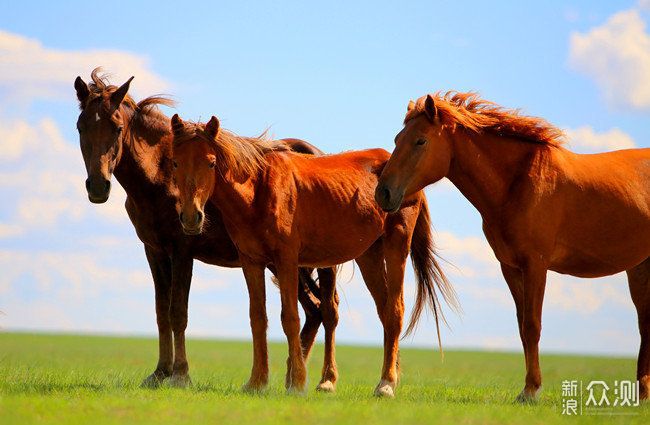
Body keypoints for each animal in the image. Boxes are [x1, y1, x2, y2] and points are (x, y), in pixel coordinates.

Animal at [73, 68, 340, 390]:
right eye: (80, 127)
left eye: (116, 127)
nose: (98, 186)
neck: (161, 175)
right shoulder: (154, 251)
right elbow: (162, 311)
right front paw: (159, 373)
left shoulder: (182, 250)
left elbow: (178, 312)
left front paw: (180, 374)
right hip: (286, 264)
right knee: (313, 311)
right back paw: (291, 377)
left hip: (320, 263)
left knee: (328, 311)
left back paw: (325, 381)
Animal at [168, 112, 456, 394]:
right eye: (174, 163)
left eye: (211, 163)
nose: (192, 217)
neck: (259, 189)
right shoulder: (251, 262)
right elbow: (258, 319)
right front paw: (256, 382)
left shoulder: (286, 261)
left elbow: (290, 318)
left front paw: (296, 383)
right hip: (369, 256)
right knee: (384, 311)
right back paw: (385, 376)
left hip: (397, 245)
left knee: (394, 310)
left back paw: (384, 384)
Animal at [372, 90, 648, 400]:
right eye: (397, 139)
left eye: (420, 140)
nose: (383, 193)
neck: (518, 184)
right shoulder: (510, 267)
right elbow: (522, 326)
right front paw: (529, 387)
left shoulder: (536, 264)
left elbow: (532, 325)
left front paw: (531, 390)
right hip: (639, 268)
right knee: (645, 324)